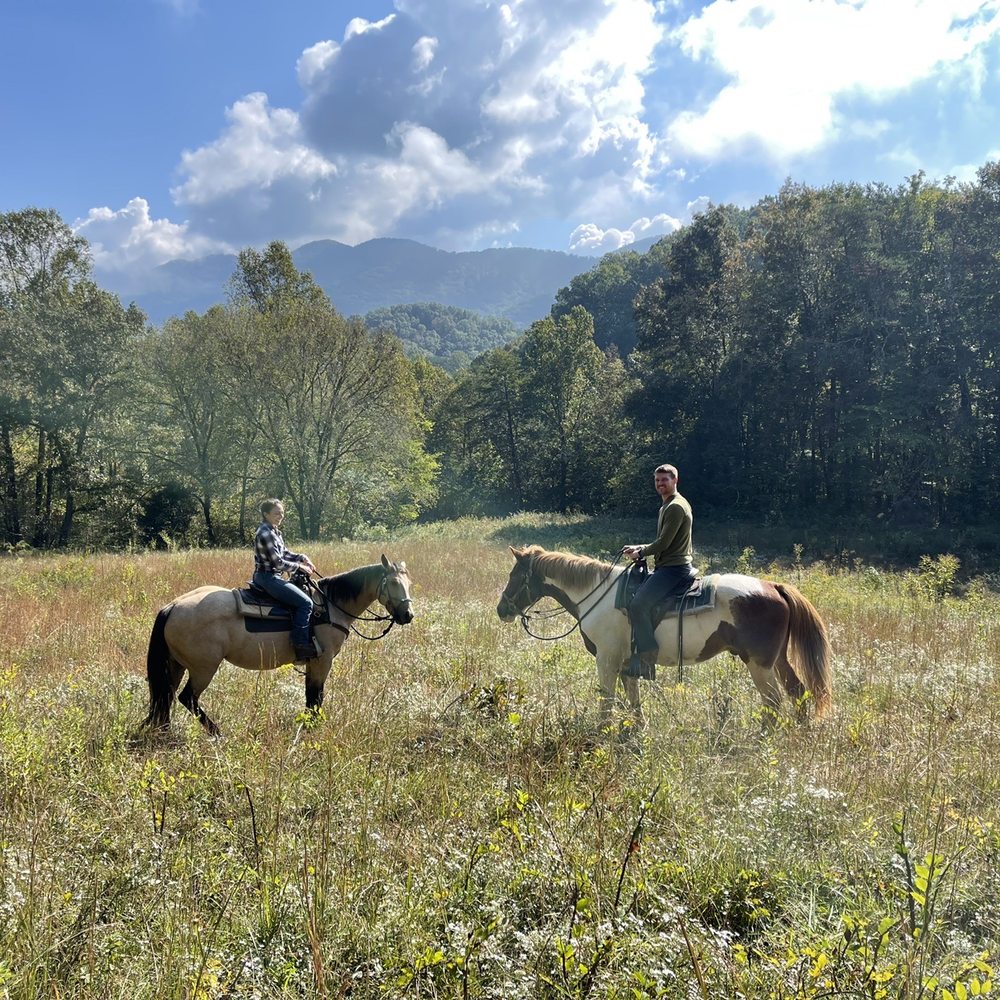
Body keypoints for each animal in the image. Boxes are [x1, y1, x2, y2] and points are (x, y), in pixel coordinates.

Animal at [142, 555, 414, 736]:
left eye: (408, 584)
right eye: (392, 584)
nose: (408, 615)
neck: (330, 606)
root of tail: (173, 606)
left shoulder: (314, 662)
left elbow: (310, 697)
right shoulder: (323, 660)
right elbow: (316, 696)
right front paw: (313, 727)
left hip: (175, 665)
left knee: (165, 697)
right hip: (203, 668)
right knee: (187, 698)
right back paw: (218, 732)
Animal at [497, 545, 831, 732]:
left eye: (515, 576)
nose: (502, 610)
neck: (597, 594)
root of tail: (774, 587)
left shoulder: (606, 659)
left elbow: (607, 699)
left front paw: (601, 733)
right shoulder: (625, 661)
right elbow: (632, 698)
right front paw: (636, 730)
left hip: (759, 663)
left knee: (773, 701)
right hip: (777, 659)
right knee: (798, 692)